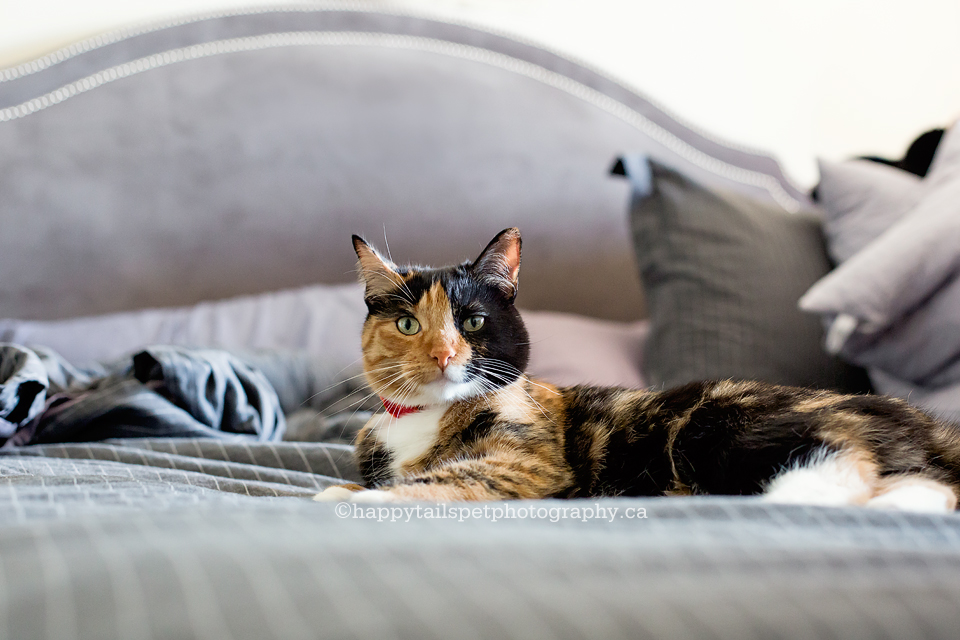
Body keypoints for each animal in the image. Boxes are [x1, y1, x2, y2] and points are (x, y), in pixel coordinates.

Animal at [318, 228, 960, 512]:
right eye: (407, 325)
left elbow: (446, 479)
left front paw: (343, 497)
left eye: (472, 322)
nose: (445, 355)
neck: (423, 418)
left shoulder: (529, 464)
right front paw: (347, 486)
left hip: (725, 426)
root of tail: (934, 427)